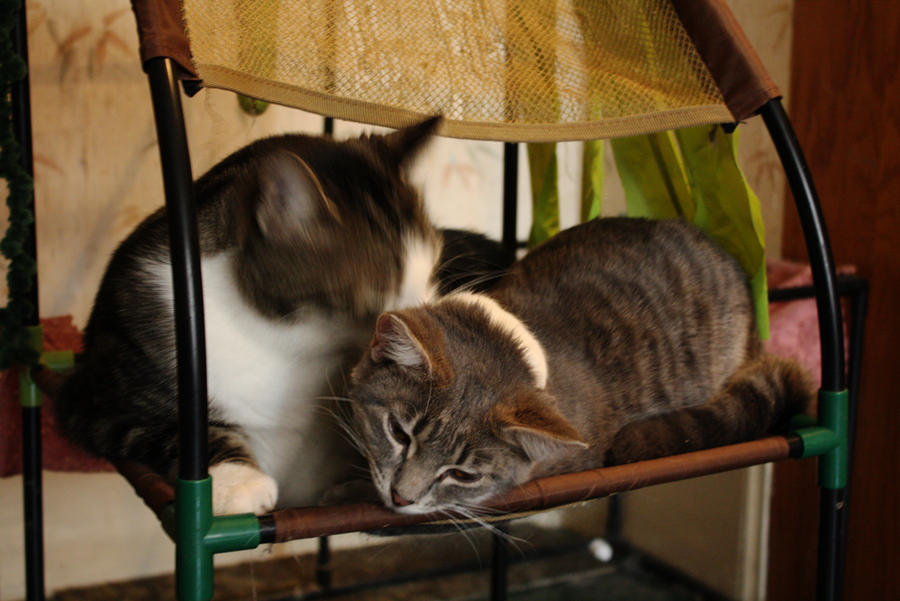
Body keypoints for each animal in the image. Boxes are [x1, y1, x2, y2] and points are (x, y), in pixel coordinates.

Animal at [58, 118, 512, 516]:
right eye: (375, 305)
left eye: (432, 270)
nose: (427, 332)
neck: (282, 343)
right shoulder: (99, 397)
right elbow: (169, 431)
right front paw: (239, 482)